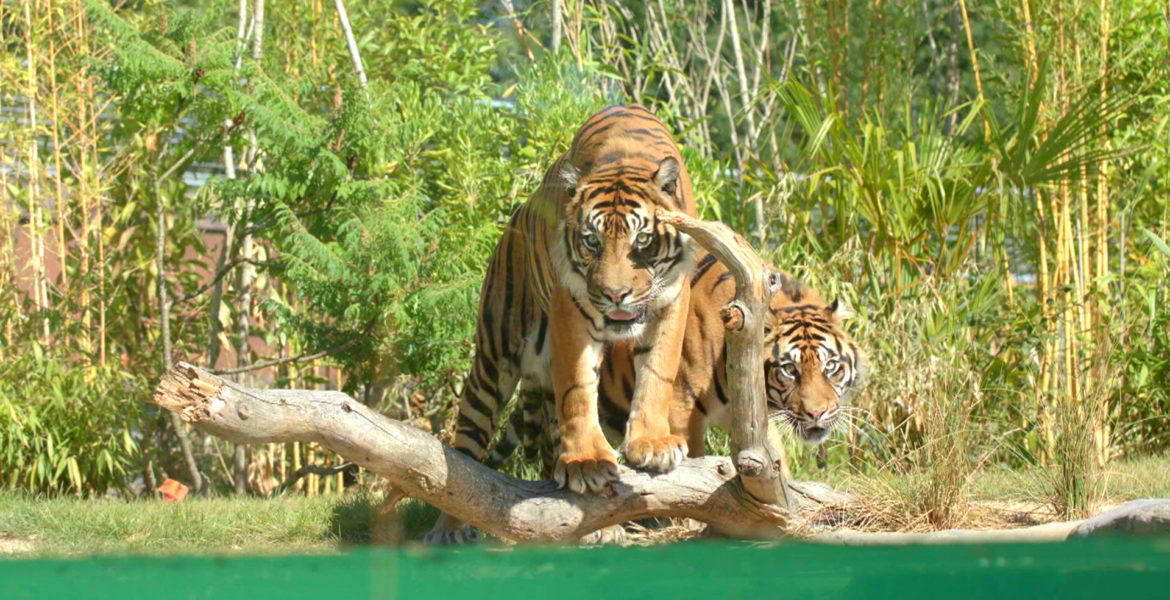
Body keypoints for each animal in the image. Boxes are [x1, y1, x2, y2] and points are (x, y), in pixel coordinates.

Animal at [428, 105, 692, 545]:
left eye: (641, 241)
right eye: (591, 242)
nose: (616, 294)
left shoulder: (673, 300)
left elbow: (657, 374)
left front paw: (652, 444)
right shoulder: (571, 305)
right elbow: (578, 387)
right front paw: (587, 461)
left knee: (549, 442)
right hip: (492, 362)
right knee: (466, 449)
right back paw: (449, 527)